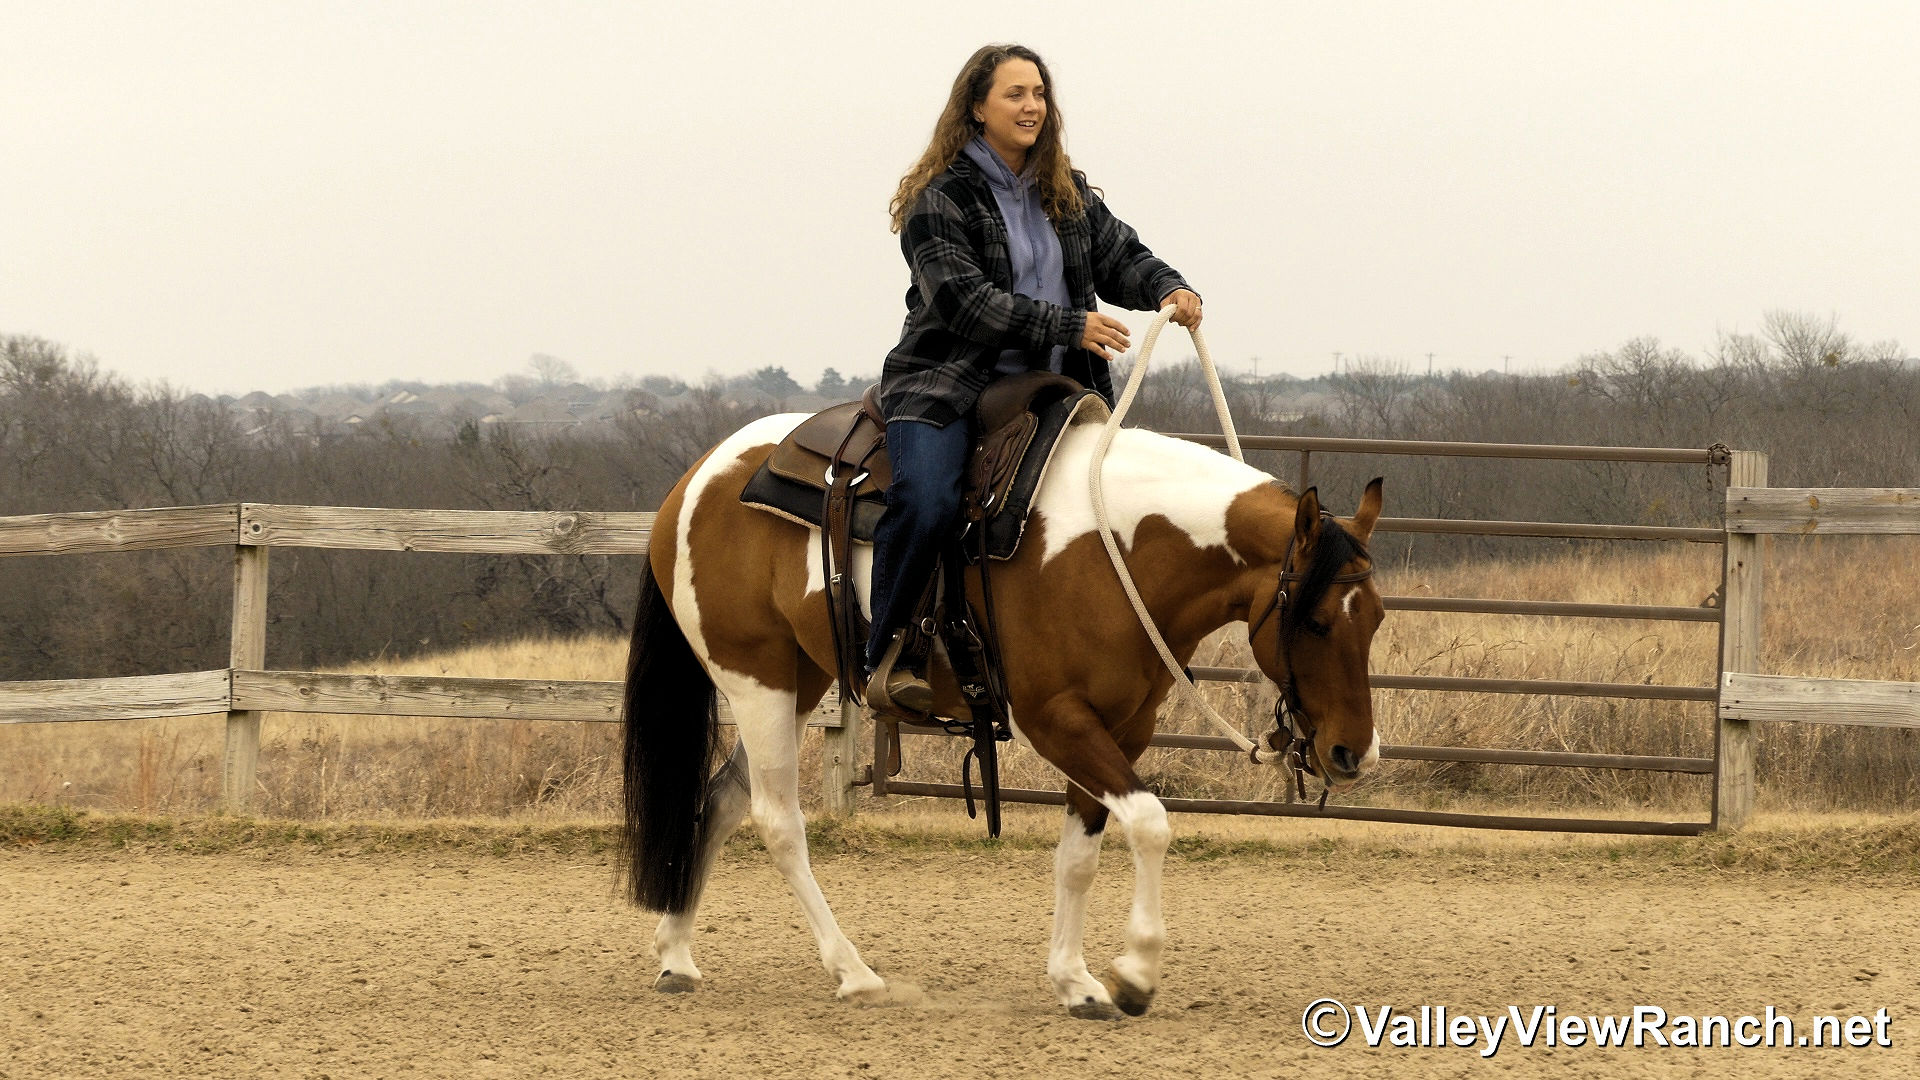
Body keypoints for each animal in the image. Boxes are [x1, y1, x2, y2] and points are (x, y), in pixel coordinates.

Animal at [620, 409, 1385, 1019]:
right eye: (1316, 621)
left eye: (1375, 617)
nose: (1353, 754)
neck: (1116, 546)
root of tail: (694, 480)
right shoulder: (1053, 719)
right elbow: (1149, 822)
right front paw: (1136, 972)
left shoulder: (1123, 727)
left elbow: (1080, 856)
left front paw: (1076, 982)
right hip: (758, 681)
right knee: (778, 823)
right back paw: (855, 973)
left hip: (798, 684)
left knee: (720, 799)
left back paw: (677, 956)